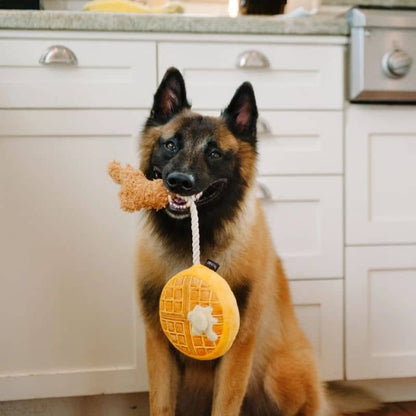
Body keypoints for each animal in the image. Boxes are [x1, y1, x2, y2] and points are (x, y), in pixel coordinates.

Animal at [135, 66, 378, 414]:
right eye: (170, 145)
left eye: (214, 153)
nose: (179, 182)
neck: (195, 240)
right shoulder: (158, 345)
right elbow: (160, 404)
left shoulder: (239, 346)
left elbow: (225, 405)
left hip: (279, 375)